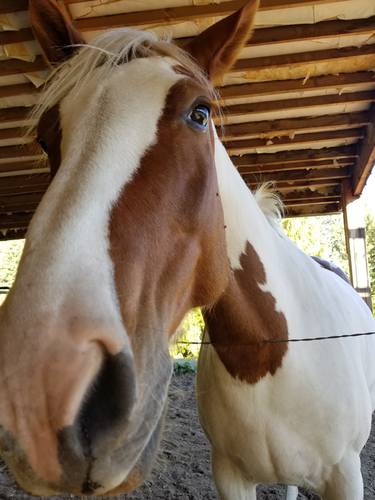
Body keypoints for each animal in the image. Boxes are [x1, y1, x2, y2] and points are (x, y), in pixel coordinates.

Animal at [0, 0, 375, 498]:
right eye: (46, 136)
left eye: (200, 113)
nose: (42, 388)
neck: (268, 357)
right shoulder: (230, 475)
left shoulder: (345, 475)